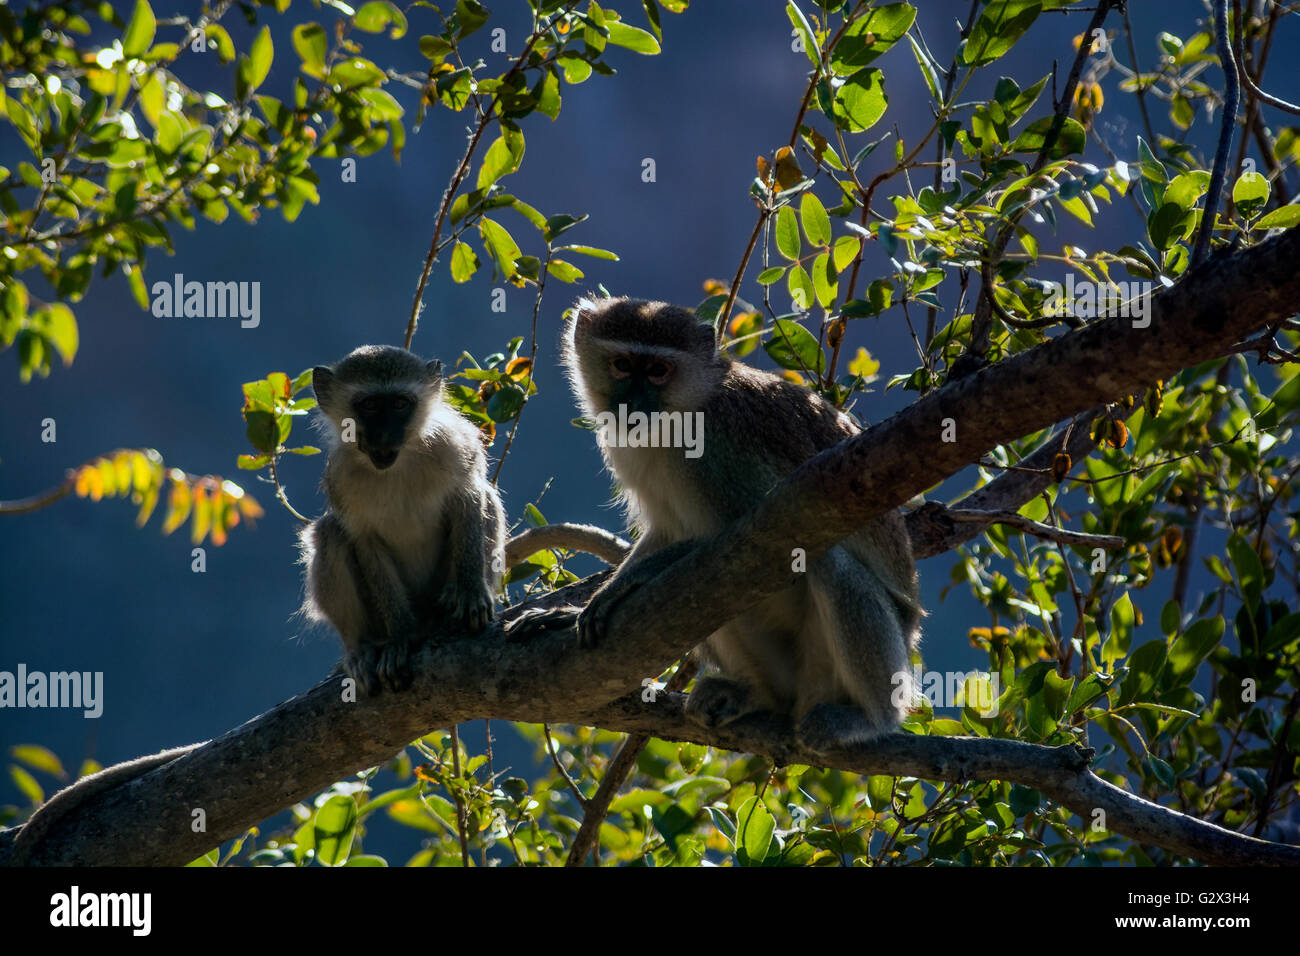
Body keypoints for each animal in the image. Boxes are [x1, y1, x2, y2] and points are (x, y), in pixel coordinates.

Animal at [300, 343, 506, 697]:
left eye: (399, 404)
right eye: (369, 405)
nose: (384, 437)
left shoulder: (454, 446)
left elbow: (468, 496)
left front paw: (469, 593)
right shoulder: (340, 478)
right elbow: (363, 542)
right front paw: (400, 639)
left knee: (488, 497)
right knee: (329, 533)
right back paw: (360, 649)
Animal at [512, 295, 920, 749]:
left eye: (659, 370)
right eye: (622, 364)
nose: (633, 405)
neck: (678, 419)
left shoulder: (722, 448)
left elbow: (748, 537)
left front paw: (614, 590)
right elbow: (666, 531)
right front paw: (573, 609)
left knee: (830, 562)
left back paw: (873, 718)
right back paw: (758, 696)